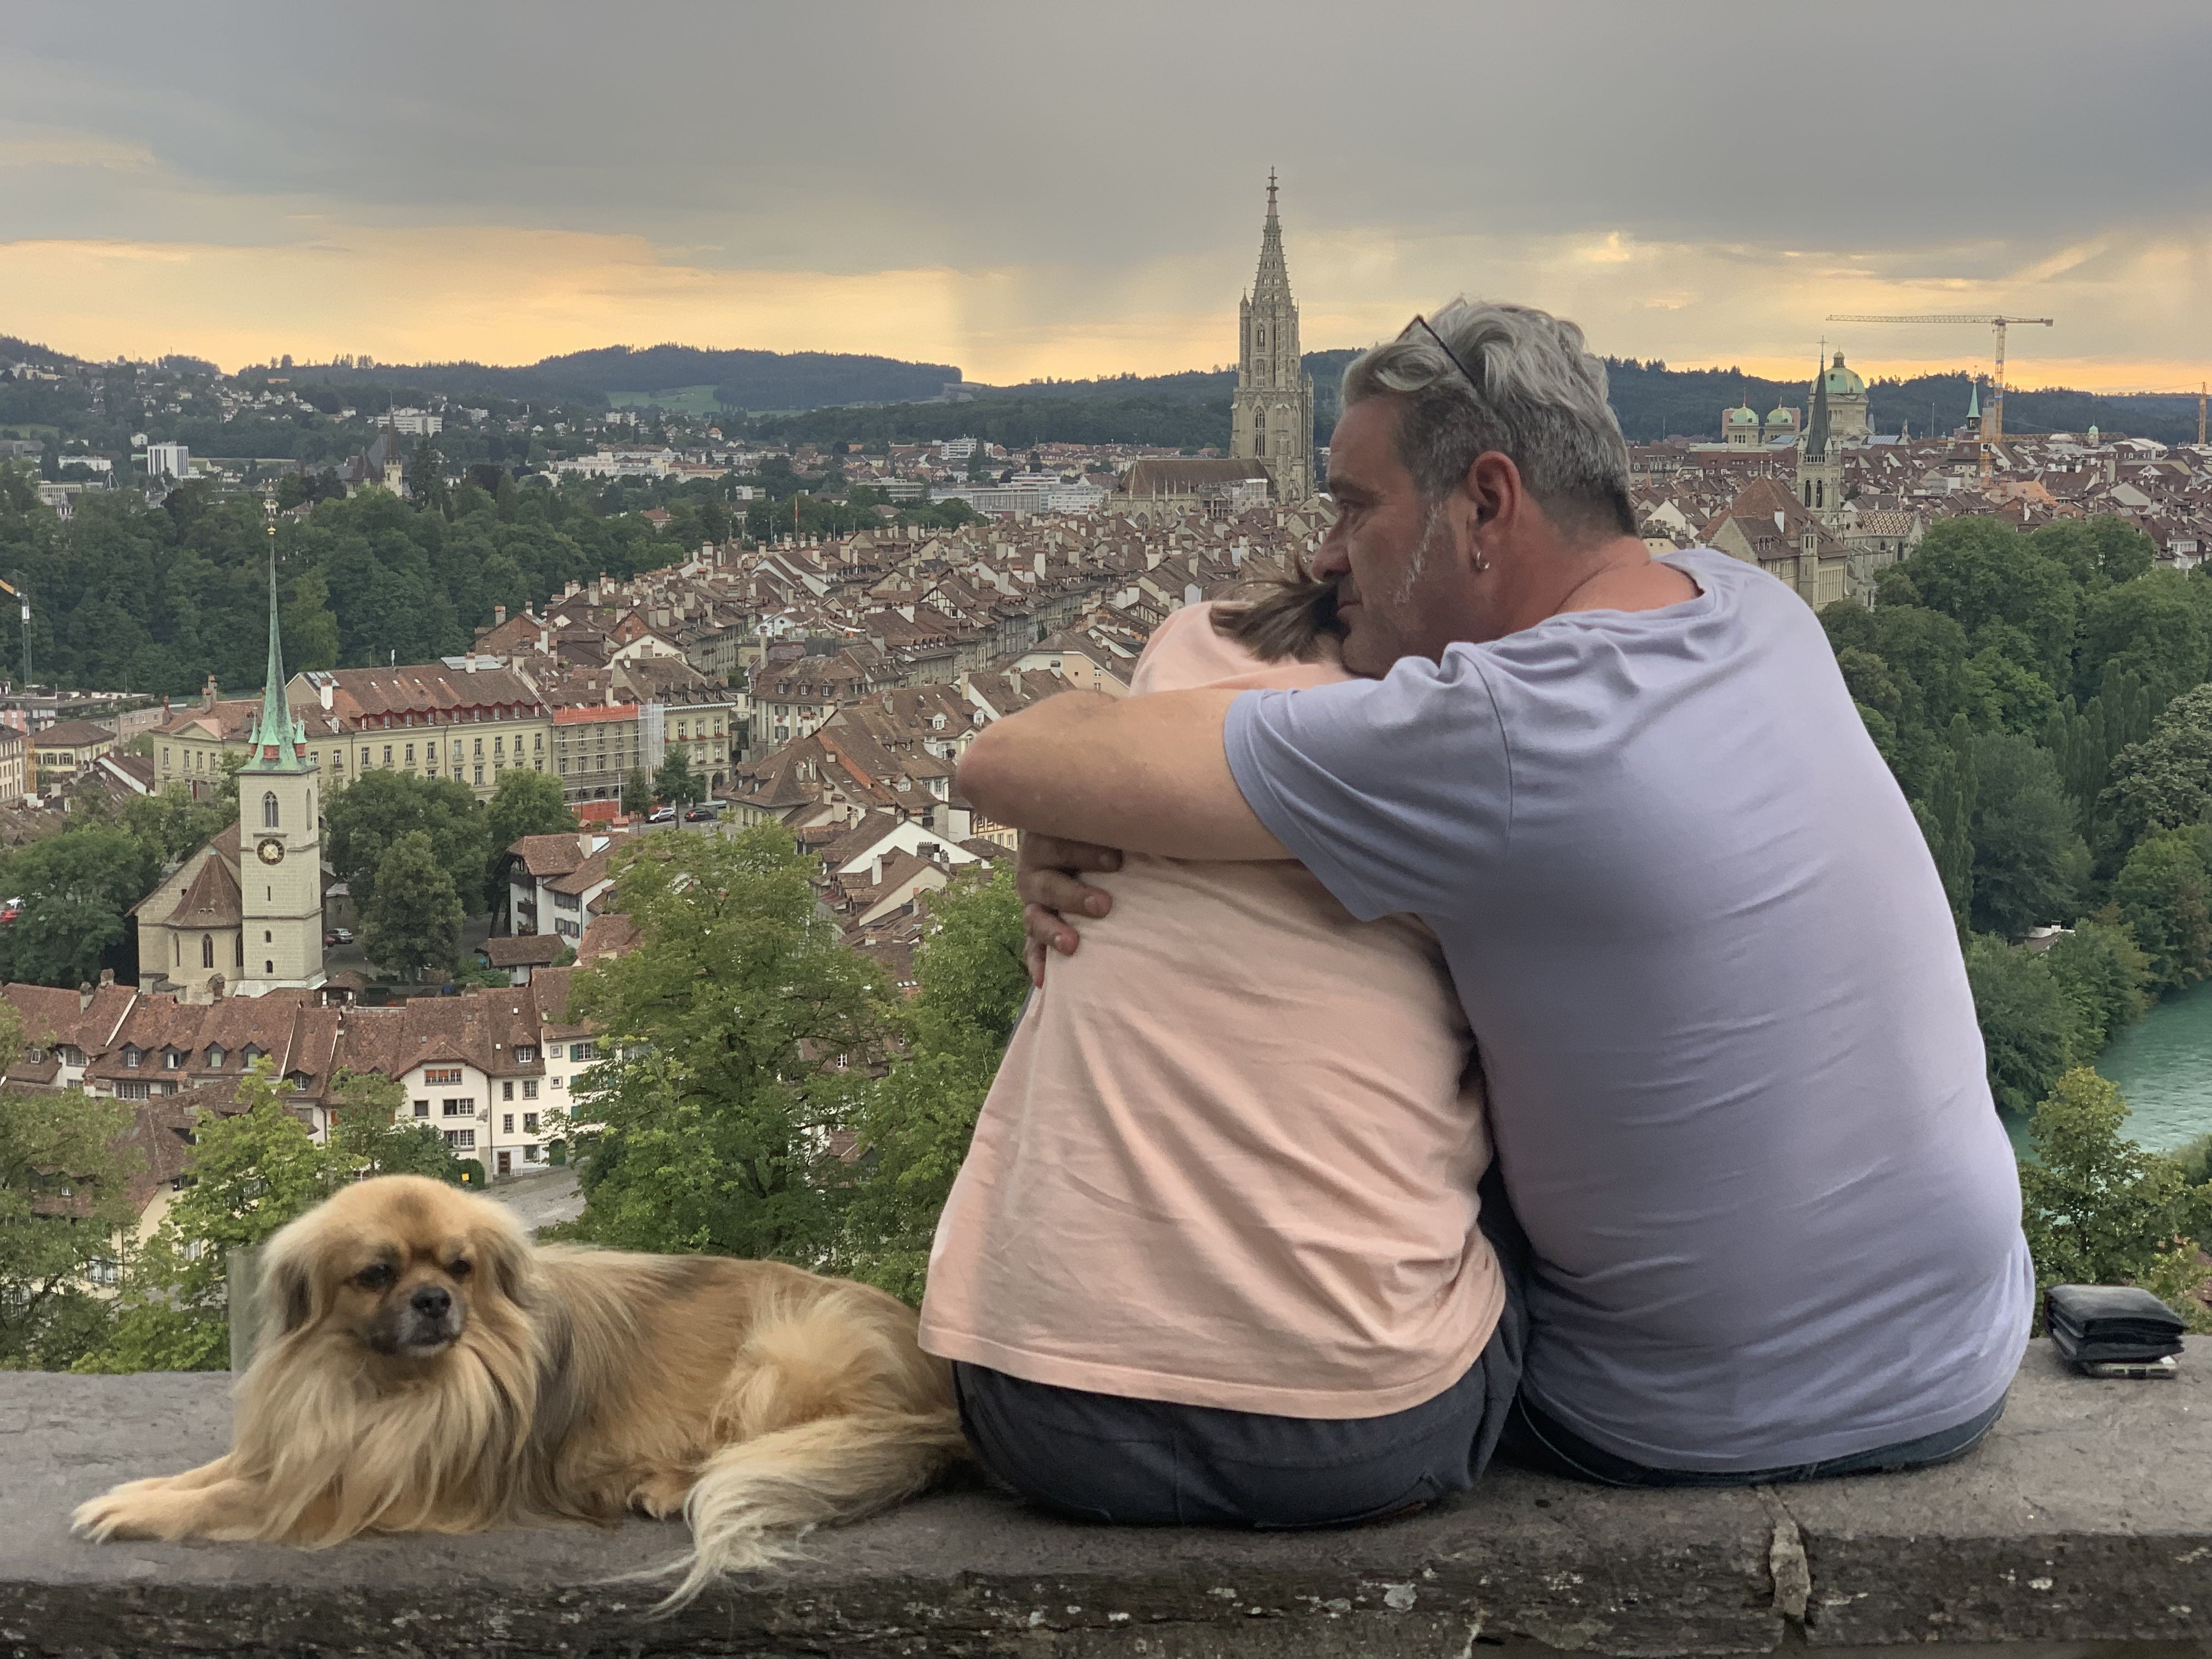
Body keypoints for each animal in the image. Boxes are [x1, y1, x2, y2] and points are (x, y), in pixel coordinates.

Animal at [71, 1177, 969, 1601]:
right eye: (377, 1275)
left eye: (460, 1267)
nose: (435, 1301)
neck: (384, 1383)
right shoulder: (304, 1446)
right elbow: (215, 1474)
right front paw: (133, 1492)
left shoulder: (356, 1485)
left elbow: (231, 1498)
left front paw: (131, 1515)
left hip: (787, 1351)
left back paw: (668, 1483)